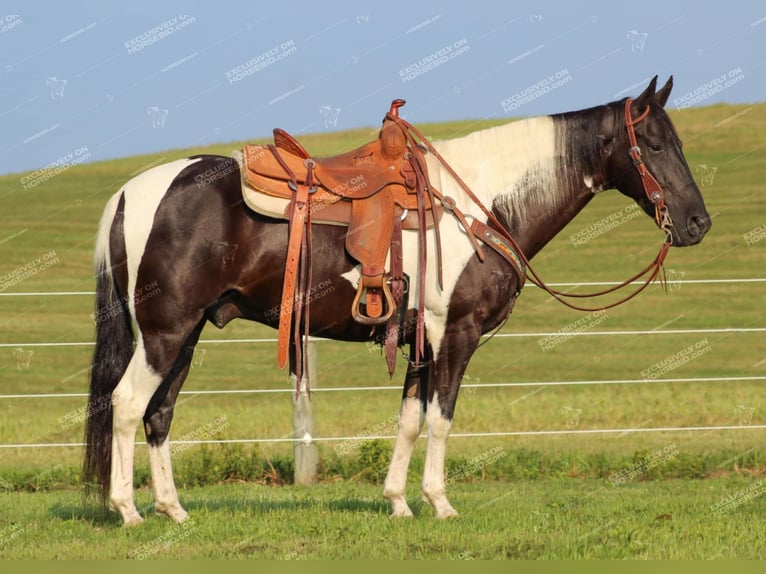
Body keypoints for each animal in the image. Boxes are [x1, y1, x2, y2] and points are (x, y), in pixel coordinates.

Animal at [84, 75, 712, 528]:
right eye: (655, 144)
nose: (697, 224)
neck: (480, 206)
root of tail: (130, 192)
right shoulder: (455, 332)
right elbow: (441, 418)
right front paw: (441, 503)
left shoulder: (419, 340)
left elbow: (410, 419)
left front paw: (399, 502)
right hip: (165, 332)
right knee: (127, 404)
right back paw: (129, 512)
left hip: (185, 334)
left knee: (159, 413)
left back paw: (174, 511)